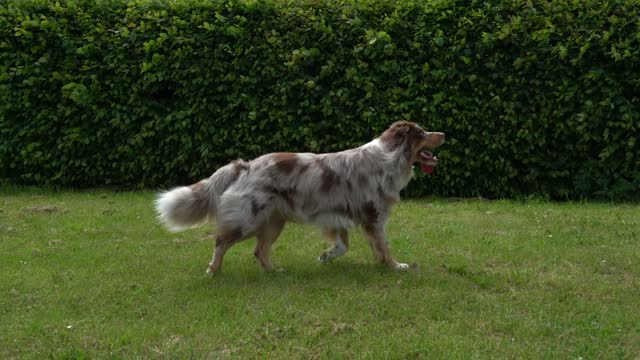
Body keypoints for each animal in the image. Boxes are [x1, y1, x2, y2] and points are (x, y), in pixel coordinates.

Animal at [155, 122, 444, 274]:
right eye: (422, 133)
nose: (444, 133)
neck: (390, 158)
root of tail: (246, 165)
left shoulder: (338, 214)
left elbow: (345, 246)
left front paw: (327, 256)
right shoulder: (374, 216)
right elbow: (384, 245)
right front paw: (396, 265)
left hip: (274, 222)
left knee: (259, 250)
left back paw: (274, 271)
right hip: (248, 219)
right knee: (221, 241)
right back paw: (213, 269)